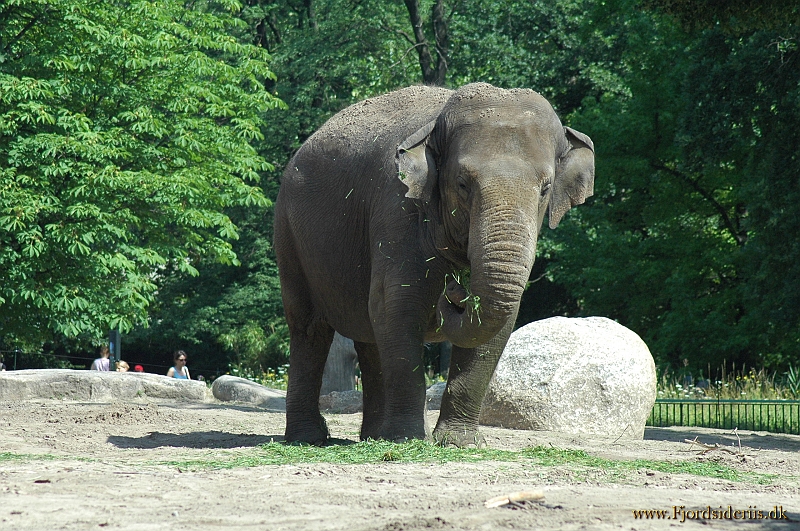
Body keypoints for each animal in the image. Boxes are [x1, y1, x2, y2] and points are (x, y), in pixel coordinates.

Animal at [276, 82, 592, 448]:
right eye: (462, 184)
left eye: (545, 189)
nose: (454, 289)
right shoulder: (396, 208)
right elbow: (397, 307)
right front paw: (409, 439)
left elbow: (498, 322)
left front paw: (459, 442)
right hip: (289, 236)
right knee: (309, 328)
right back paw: (309, 438)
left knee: (368, 337)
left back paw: (373, 438)